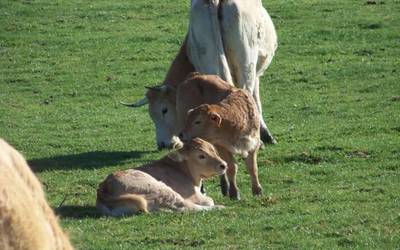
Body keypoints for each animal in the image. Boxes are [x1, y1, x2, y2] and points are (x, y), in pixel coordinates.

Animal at [96, 138, 228, 216]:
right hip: (161, 188)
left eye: (213, 150)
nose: (223, 165)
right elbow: (208, 200)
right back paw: (220, 207)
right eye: (201, 156)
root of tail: (105, 187)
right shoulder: (194, 196)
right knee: (185, 206)